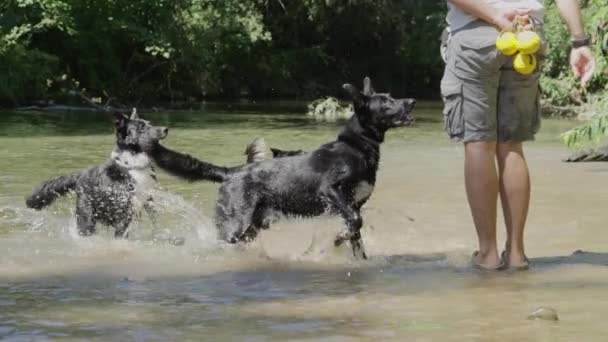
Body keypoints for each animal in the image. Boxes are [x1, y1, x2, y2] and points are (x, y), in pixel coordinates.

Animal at [25, 111, 167, 236]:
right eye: (141, 126)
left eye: (150, 123)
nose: (165, 129)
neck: (132, 165)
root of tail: (80, 174)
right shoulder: (123, 215)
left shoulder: (146, 203)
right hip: (87, 218)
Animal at [150, 78, 416, 260]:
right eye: (386, 102)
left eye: (391, 97)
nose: (412, 101)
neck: (356, 147)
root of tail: (231, 172)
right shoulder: (331, 190)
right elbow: (355, 221)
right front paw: (338, 238)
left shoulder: (354, 203)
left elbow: (356, 234)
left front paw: (346, 244)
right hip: (234, 225)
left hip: (254, 225)